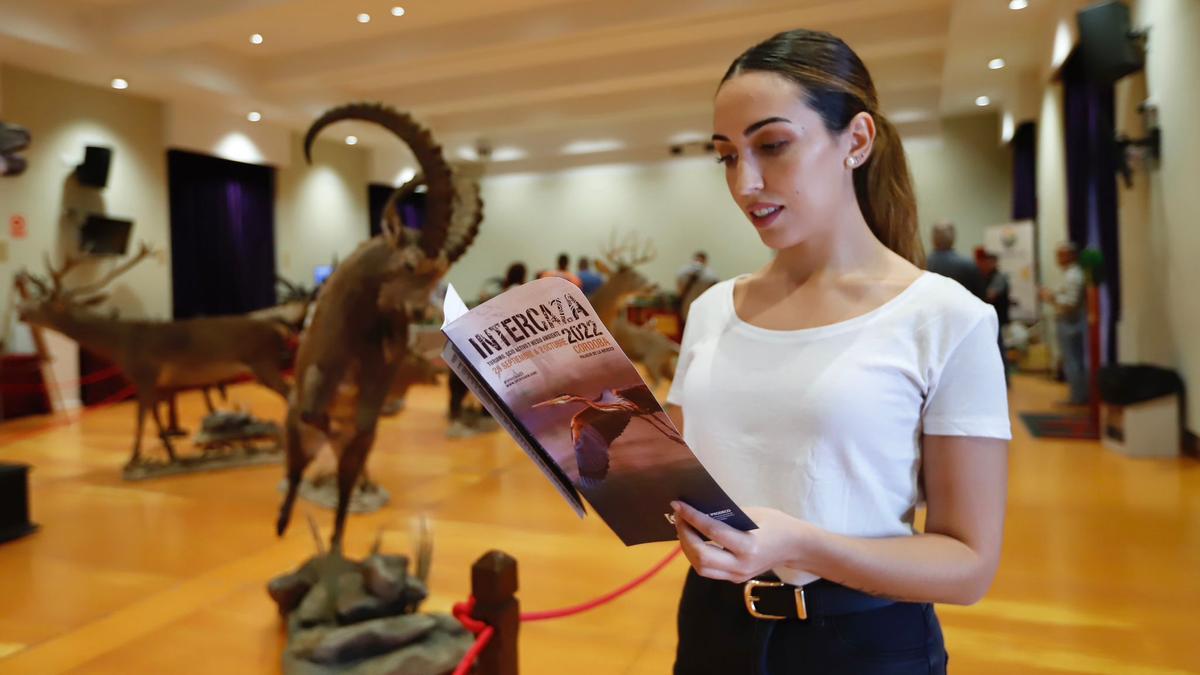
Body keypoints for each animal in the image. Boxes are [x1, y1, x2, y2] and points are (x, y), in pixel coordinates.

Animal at [18, 243, 292, 466]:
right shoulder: (156, 383)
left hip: (262, 361)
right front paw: (171, 455)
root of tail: (278, 328)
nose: (21, 311)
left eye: (43, 304)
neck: (118, 346)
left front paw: (133, 459)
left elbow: (140, 418)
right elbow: (157, 419)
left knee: (289, 392)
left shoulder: (144, 375)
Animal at [276, 102, 482, 550]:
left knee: (341, 494)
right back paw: (284, 523)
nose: (424, 315)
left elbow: (363, 419)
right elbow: (313, 406)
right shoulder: (313, 374)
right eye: (409, 266)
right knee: (298, 467)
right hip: (296, 434)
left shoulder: (375, 382)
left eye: (439, 273)